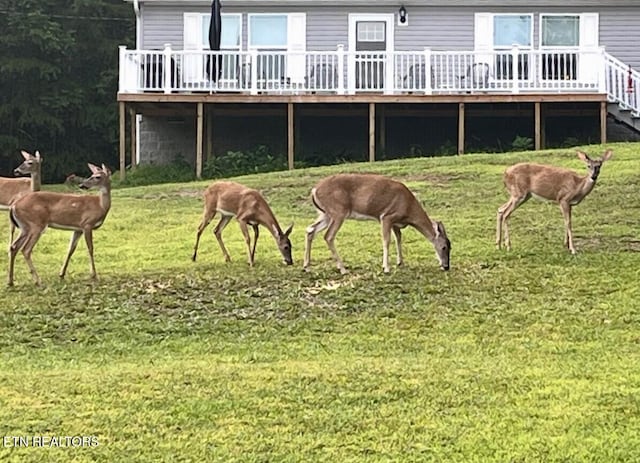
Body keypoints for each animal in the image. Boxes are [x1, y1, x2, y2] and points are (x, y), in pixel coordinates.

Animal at [304, 174, 450, 276]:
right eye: (444, 247)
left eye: (450, 247)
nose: (447, 266)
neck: (409, 209)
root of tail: (314, 190)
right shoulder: (386, 216)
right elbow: (386, 240)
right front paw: (386, 268)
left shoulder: (395, 223)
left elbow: (399, 238)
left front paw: (400, 262)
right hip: (338, 211)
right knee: (328, 236)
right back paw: (343, 269)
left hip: (326, 214)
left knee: (310, 230)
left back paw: (307, 266)